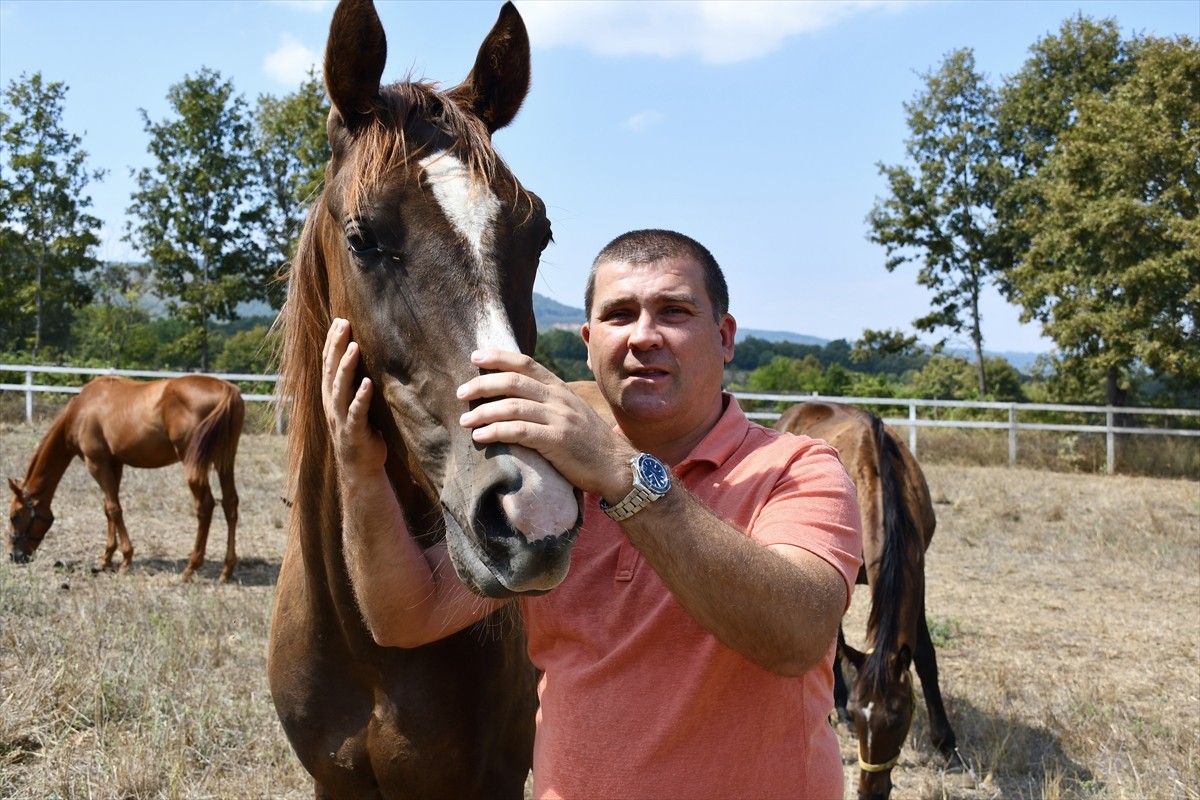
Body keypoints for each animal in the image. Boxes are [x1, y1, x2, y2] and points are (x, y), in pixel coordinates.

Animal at [6, 376, 246, 582]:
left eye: (14, 516)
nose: (15, 556)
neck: (82, 410)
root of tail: (227, 389)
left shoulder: (96, 464)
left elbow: (114, 509)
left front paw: (125, 560)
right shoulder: (114, 464)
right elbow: (108, 508)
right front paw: (106, 558)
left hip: (193, 463)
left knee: (205, 506)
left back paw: (190, 568)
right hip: (225, 460)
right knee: (230, 503)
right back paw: (227, 570)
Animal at [772, 400, 960, 800]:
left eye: (900, 718)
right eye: (861, 717)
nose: (870, 792)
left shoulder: (917, 568)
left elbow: (925, 656)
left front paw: (946, 744)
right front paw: (840, 707)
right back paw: (836, 700)